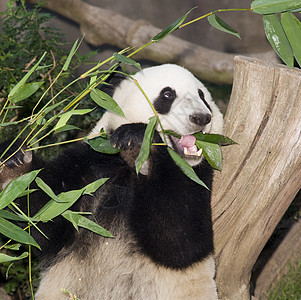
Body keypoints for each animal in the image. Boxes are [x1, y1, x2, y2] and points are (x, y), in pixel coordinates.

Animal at [0, 63, 223, 298]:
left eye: (202, 96)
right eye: (167, 94)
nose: (201, 118)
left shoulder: (200, 176)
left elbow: (179, 240)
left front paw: (140, 143)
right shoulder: (92, 163)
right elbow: (45, 217)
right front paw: (16, 165)